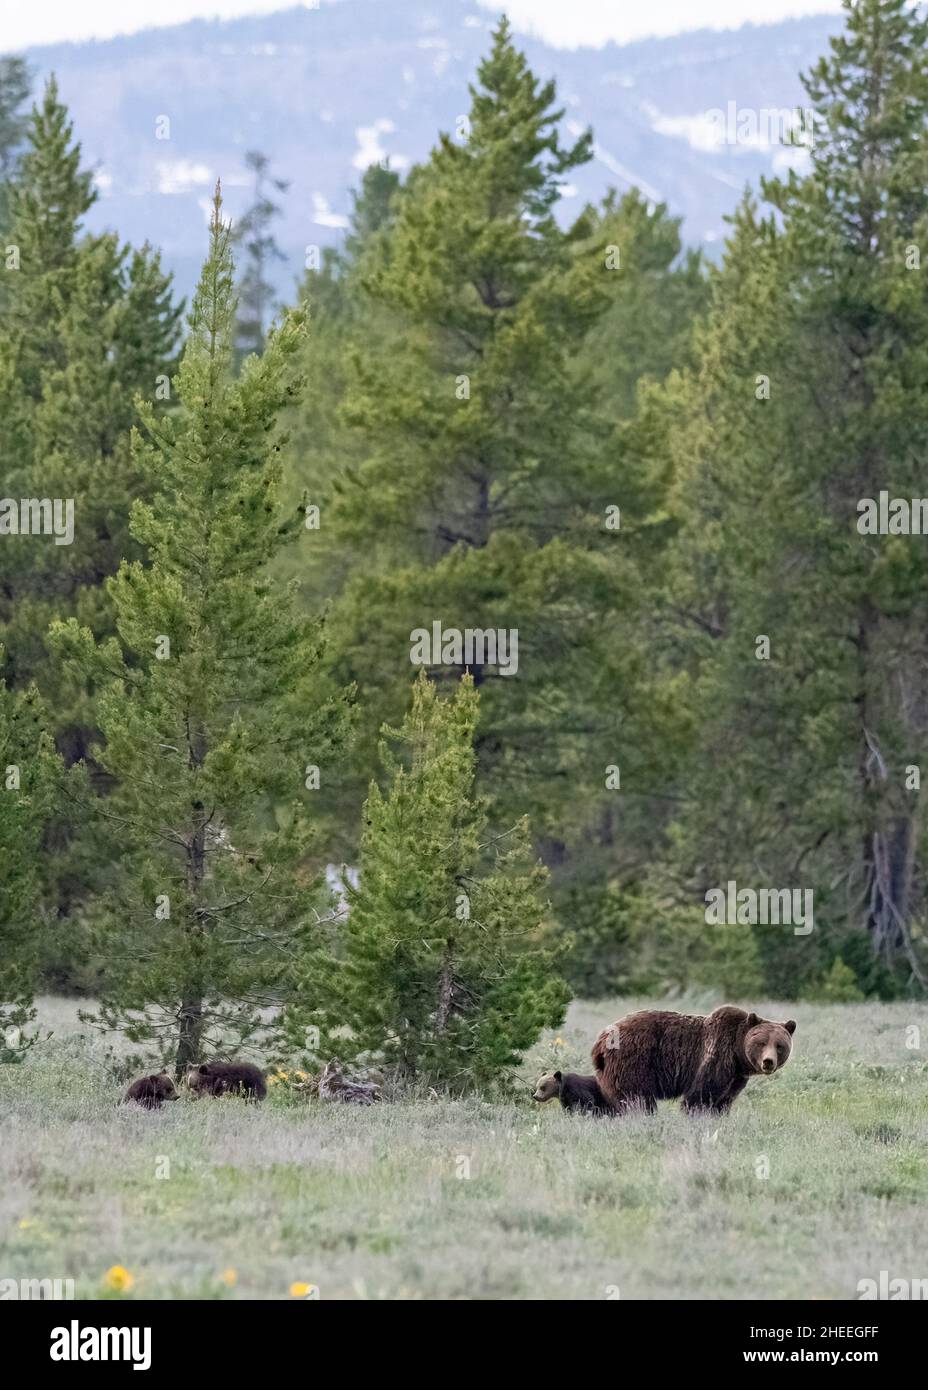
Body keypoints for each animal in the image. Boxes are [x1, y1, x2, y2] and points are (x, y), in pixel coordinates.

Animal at [591, 1006, 796, 1115]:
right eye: (761, 1043)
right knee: (637, 1099)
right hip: (634, 1062)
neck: (738, 1055)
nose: (768, 1062)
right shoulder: (716, 1057)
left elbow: (723, 1100)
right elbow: (701, 1096)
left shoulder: (736, 1077)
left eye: (779, 1045)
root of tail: (601, 1040)